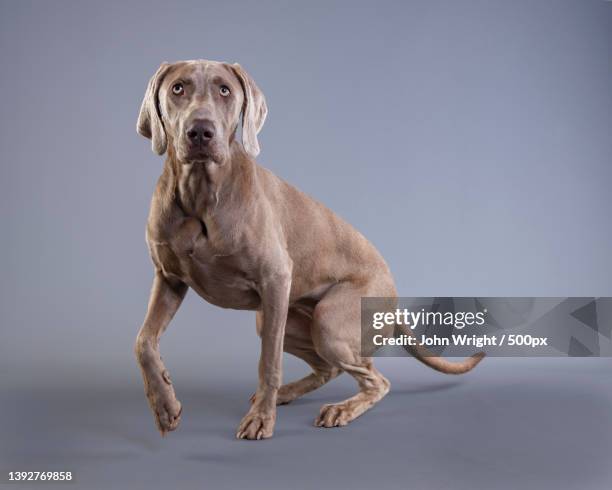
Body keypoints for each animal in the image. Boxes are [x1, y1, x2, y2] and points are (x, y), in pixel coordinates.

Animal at [134, 58, 482, 440]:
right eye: (177, 88)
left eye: (224, 90)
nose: (200, 132)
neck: (200, 193)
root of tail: (393, 292)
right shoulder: (168, 278)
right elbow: (143, 341)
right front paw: (165, 406)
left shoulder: (275, 279)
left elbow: (268, 361)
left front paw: (261, 419)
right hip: (286, 321)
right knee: (332, 368)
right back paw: (289, 395)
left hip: (328, 320)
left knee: (376, 379)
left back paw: (338, 409)